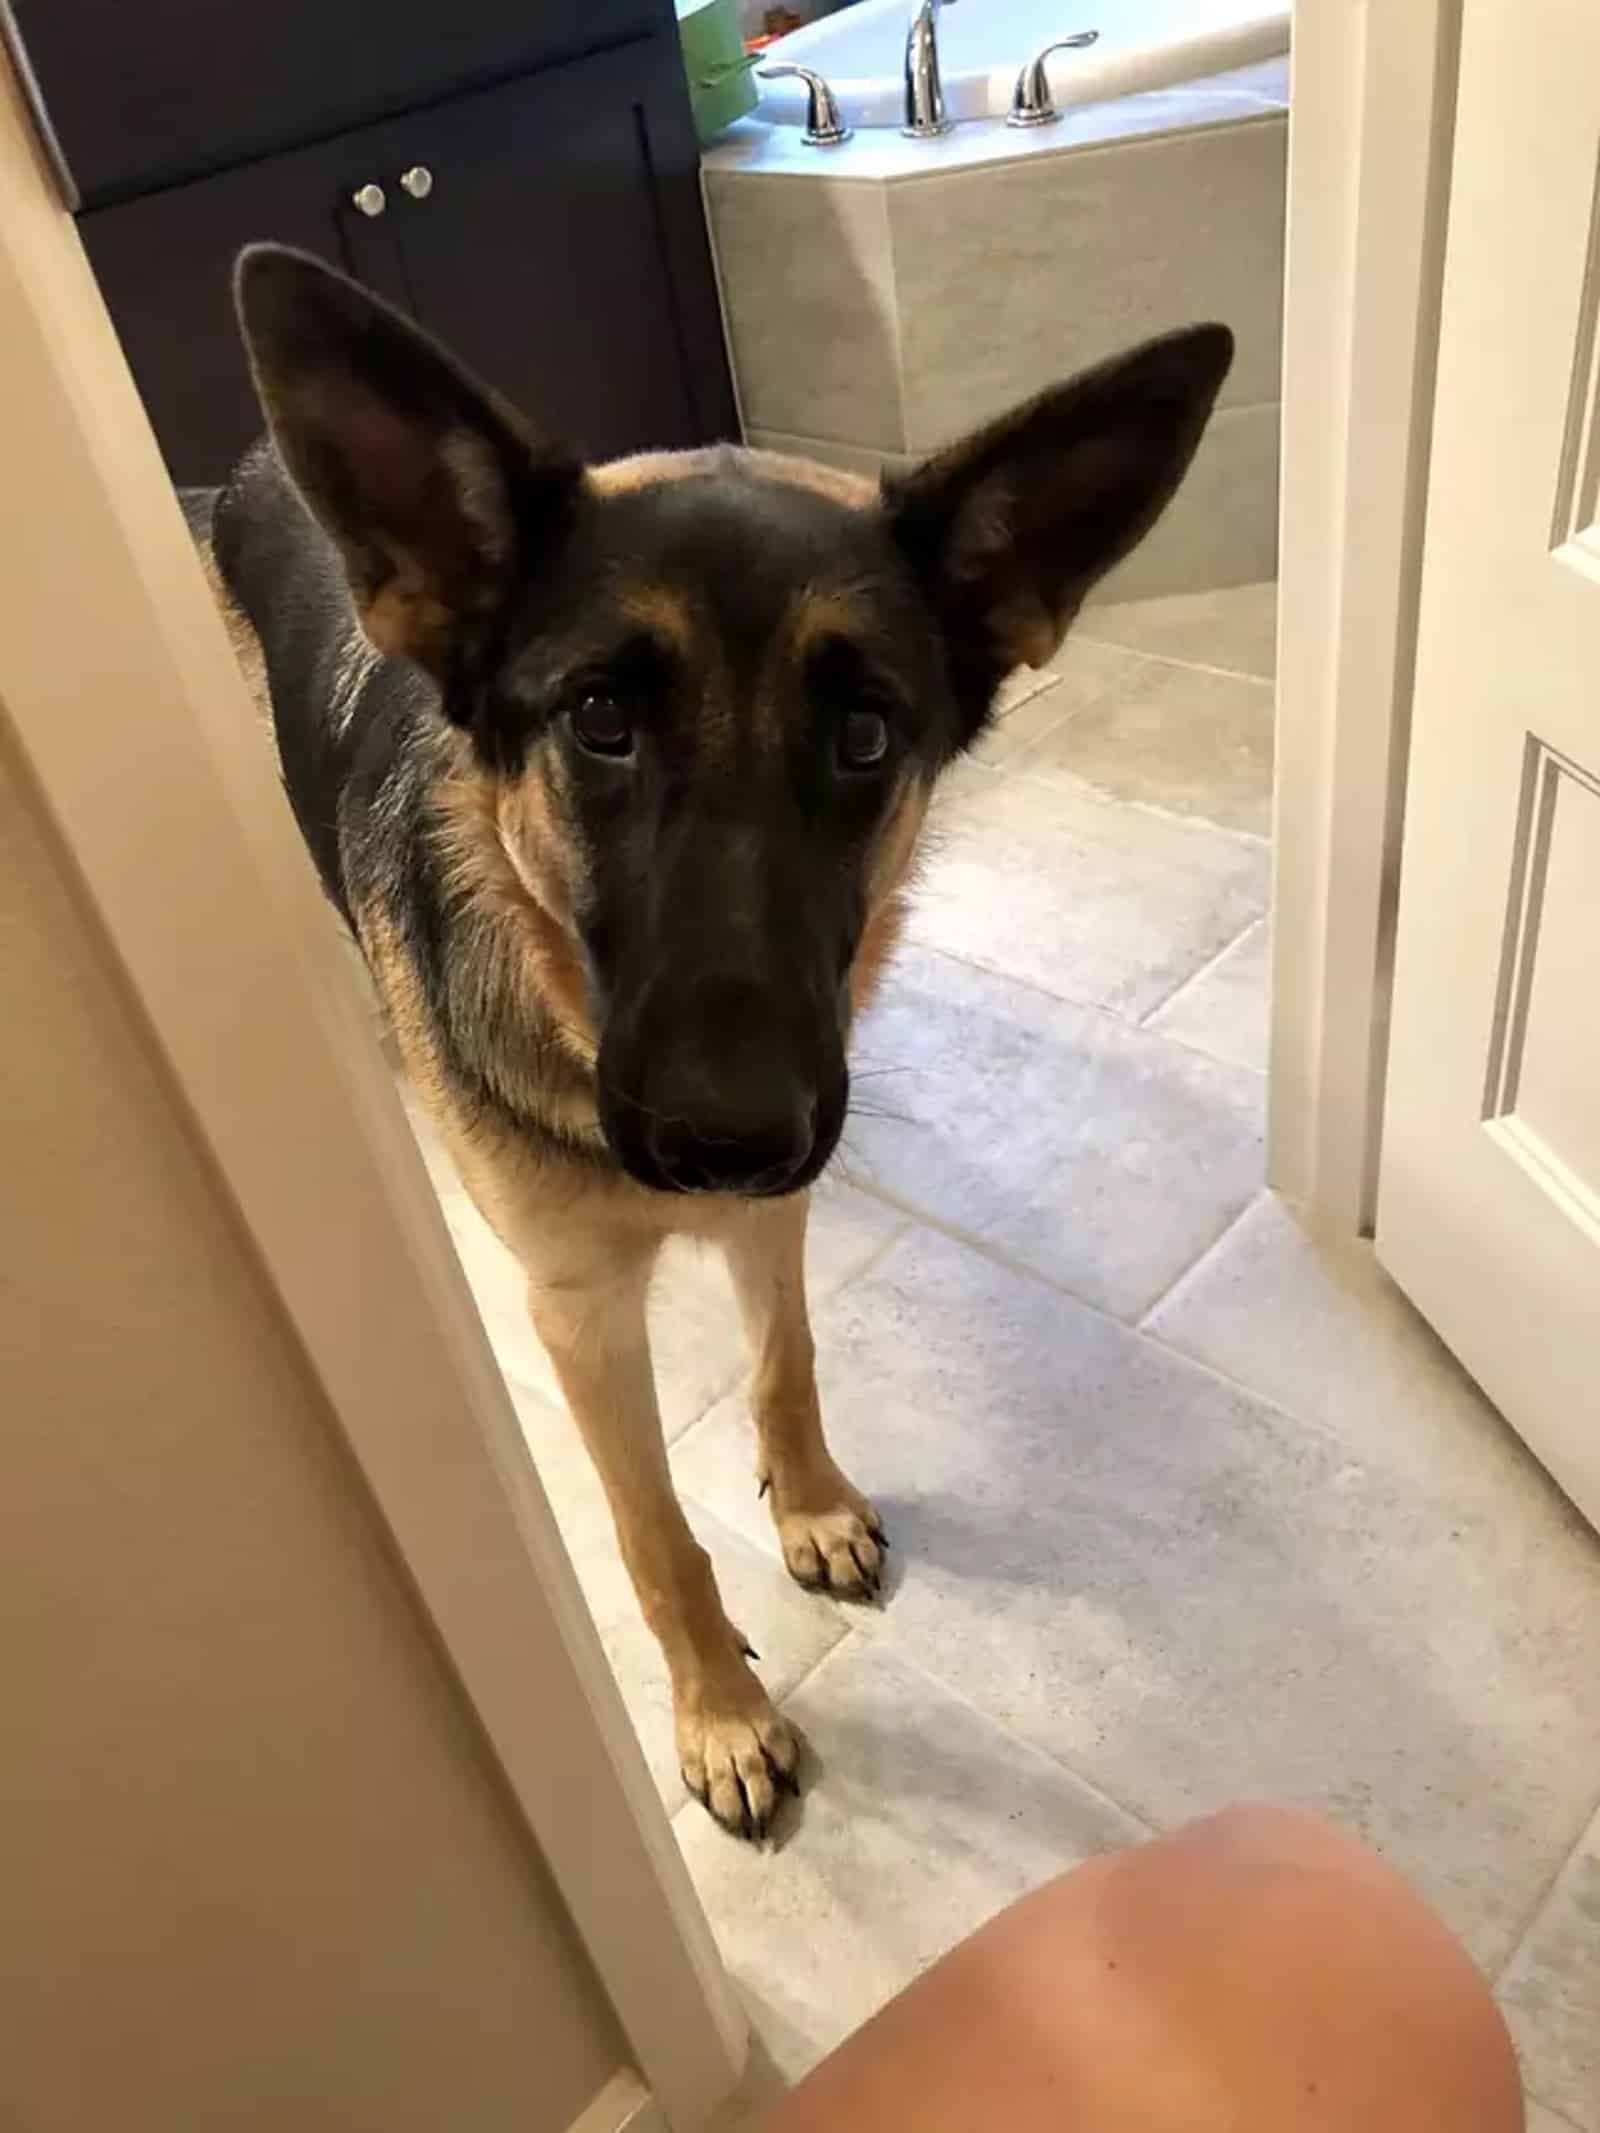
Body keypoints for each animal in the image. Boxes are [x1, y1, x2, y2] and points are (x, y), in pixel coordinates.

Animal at [206, 249, 1237, 1842]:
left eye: (866, 736)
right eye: (600, 720)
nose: (725, 1138)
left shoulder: (779, 1212)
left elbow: (785, 1362)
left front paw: (805, 1504)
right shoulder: (576, 1314)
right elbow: (651, 1535)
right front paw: (720, 1714)